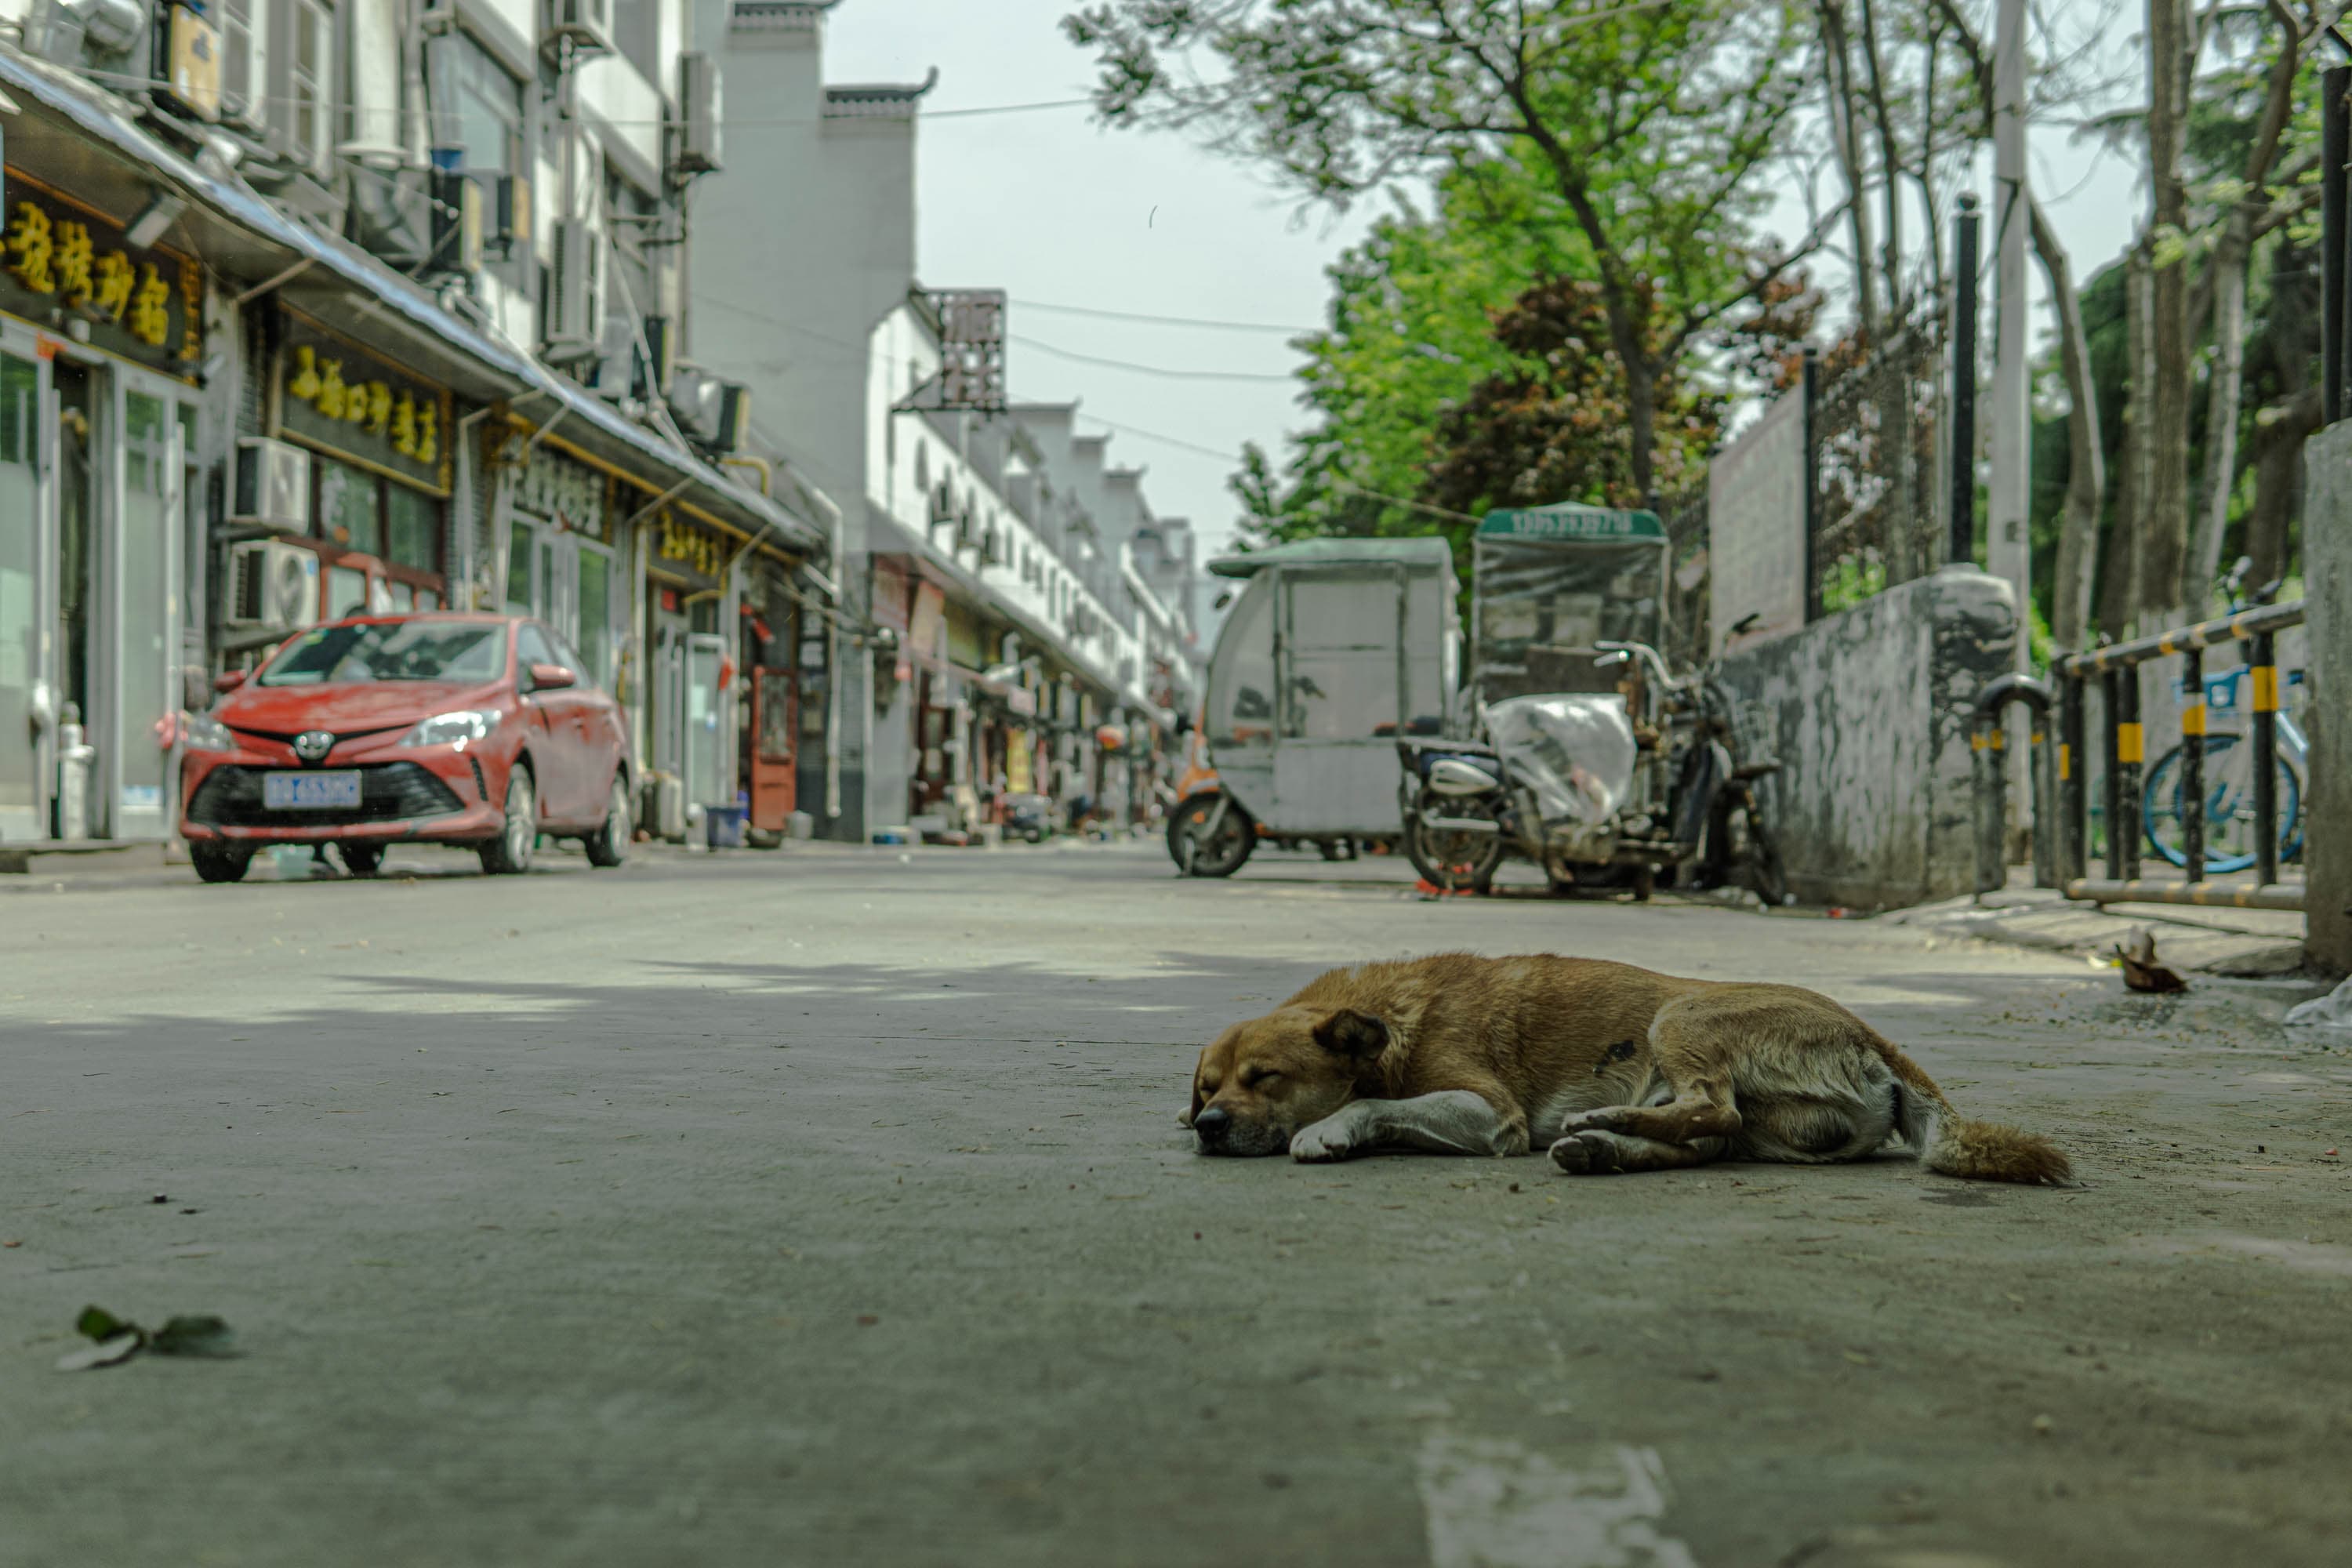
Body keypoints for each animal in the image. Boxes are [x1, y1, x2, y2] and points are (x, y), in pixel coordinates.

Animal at [1185, 949, 2070, 1185]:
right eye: (1206, 1087)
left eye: (1263, 1078)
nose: (1207, 1126)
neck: (1391, 1018)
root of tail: (1875, 1037)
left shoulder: (1488, 1109)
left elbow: (1375, 1107)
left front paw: (1331, 1129)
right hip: (1768, 1127)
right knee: (1710, 1136)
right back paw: (1605, 1144)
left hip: (1679, 1015)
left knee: (1712, 1107)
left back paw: (1600, 1124)